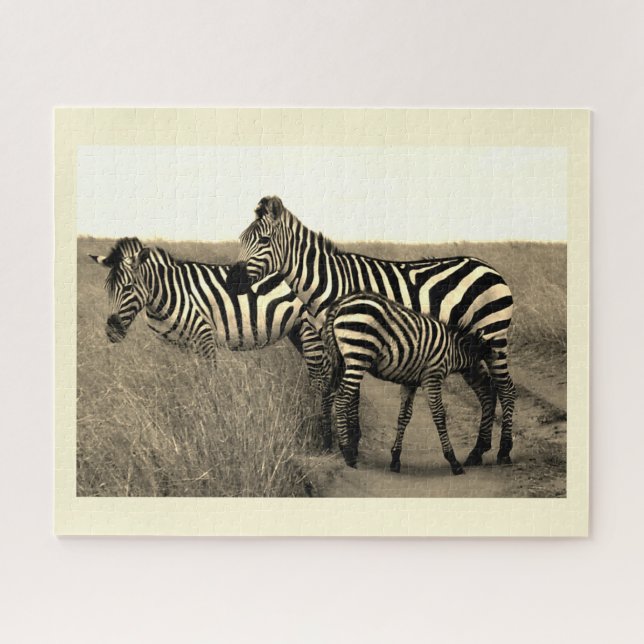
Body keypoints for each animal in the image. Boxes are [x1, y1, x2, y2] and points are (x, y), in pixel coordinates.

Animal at [89, 237, 330, 394]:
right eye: (108, 288)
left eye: (128, 287)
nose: (111, 331)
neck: (168, 292)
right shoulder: (180, 346)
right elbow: (188, 379)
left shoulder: (204, 336)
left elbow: (209, 378)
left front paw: (212, 409)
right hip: (297, 330)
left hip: (311, 330)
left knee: (322, 376)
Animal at [321, 291, 497, 472]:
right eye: (486, 354)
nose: (491, 381)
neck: (452, 351)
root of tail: (341, 303)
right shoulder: (432, 377)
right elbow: (439, 414)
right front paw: (453, 461)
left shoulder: (410, 382)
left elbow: (404, 416)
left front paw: (395, 459)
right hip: (358, 354)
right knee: (342, 398)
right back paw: (347, 453)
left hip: (341, 359)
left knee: (328, 391)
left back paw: (328, 443)